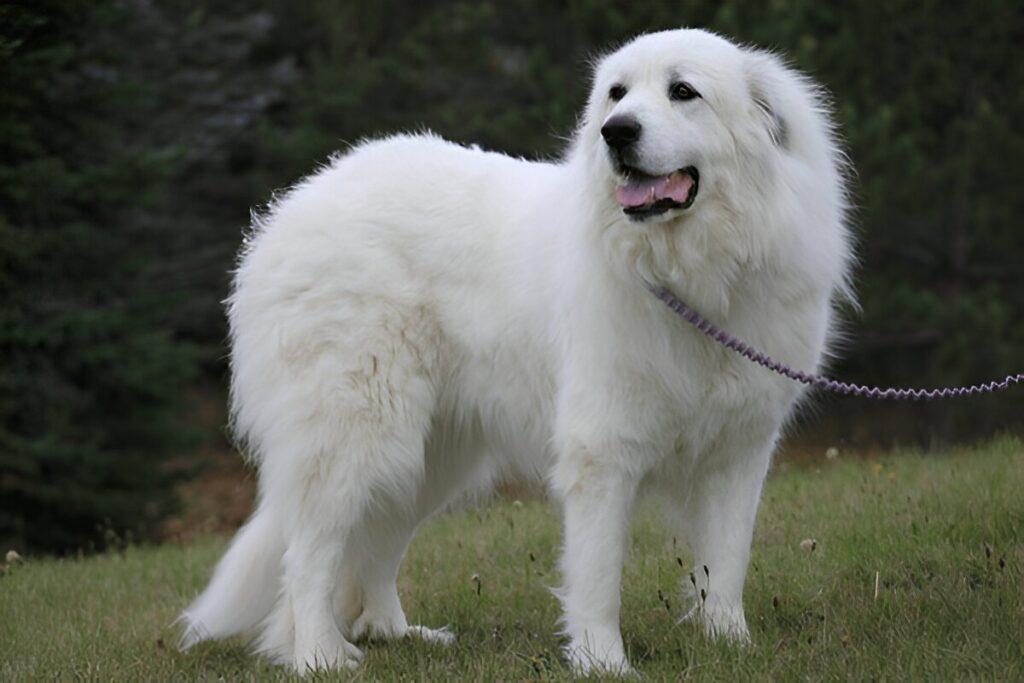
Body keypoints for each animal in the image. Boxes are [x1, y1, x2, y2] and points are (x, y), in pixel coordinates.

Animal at [180, 29, 851, 675]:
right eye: (616, 94)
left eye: (683, 92)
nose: (616, 132)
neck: (692, 274)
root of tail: (297, 201)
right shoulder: (602, 450)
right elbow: (598, 575)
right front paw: (602, 663)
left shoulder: (741, 450)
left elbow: (728, 562)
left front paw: (731, 646)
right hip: (356, 434)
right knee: (308, 555)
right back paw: (318, 655)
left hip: (427, 455)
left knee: (374, 545)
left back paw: (397, 634)